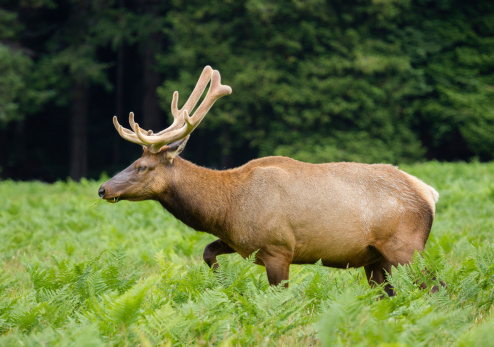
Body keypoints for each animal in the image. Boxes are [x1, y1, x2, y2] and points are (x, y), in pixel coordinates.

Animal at [97, 65, 440, 296]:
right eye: (134, 162)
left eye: (142, 166)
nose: (103, 189)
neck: (226, 208)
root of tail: (430, 193)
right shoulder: (242, 242)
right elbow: (207, 252)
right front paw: (224, 284)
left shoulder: (278, 249)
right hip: (376, 258)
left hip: (405, 247)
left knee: (434, 286)